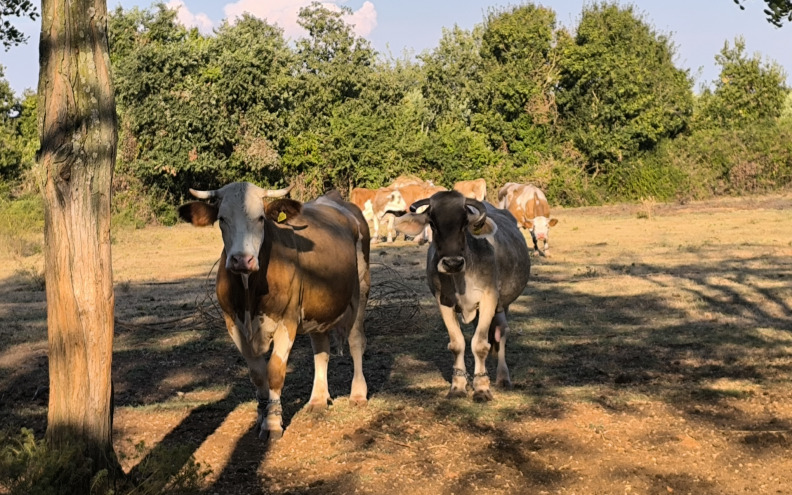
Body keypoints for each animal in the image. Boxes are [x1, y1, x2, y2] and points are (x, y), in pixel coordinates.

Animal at [178, 182, 370, 442]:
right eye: (222, 218)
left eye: (261, 218)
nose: (242, 260)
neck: (250, 291)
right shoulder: (233, 323)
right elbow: (258, 373)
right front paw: (261, 416)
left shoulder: (287, 321)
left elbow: (275, 372)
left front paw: (272, 423)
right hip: (317, 304)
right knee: (321, 348)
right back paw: (318, 399)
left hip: (361, 287)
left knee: (356, 340)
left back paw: (358, 394)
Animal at [392, 191, 528, 404]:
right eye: (432, 223)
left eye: (464, 223)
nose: (452, 263)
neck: (460, 278)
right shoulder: (443, 302)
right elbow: (457, 344)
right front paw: (458, 386)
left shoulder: (489, 299)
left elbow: (480, 345)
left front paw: (482, 388)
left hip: (502, 305)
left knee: (501, 332)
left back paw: (503, 377)